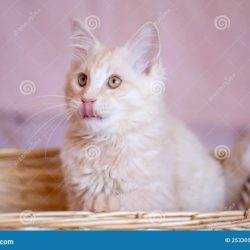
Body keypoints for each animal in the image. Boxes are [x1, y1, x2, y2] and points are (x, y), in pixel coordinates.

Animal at [60, 18, 250, 212]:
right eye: (82, 80)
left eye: (114, 82)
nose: (87, 100)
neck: (103, 144)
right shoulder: (72, 198)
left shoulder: (163, 199)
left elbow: (130, 200)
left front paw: (102, 202)